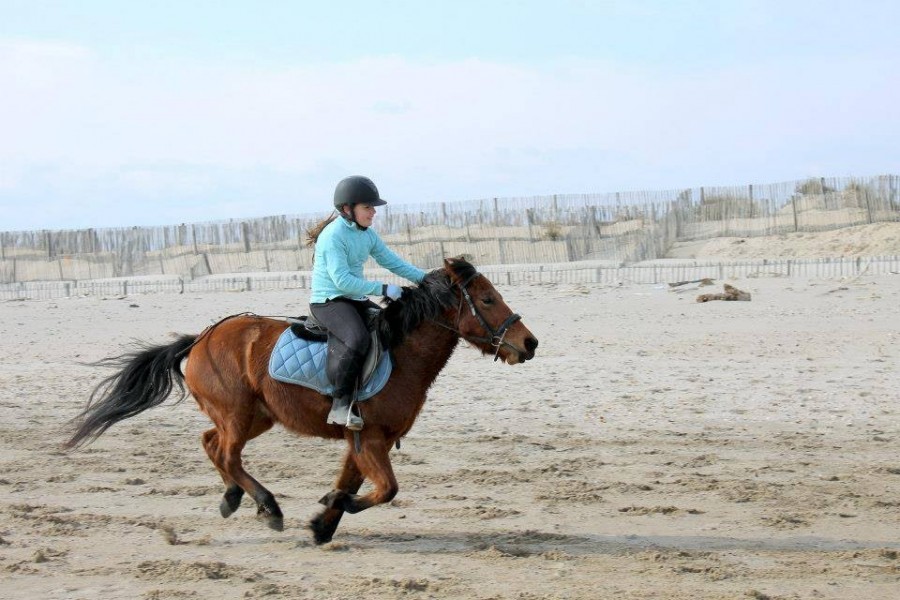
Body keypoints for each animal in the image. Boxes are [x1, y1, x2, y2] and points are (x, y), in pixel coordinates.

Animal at [68, 256, 540, 544]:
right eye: (487, 299)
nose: (529, 343)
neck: (400, 352)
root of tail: (200, 339)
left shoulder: (365, 441)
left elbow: (352, 483)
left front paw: (321, 525)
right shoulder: (371, 439)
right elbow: (385, 489)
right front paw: (332, 508)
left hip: (255, 417)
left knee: (211, 445)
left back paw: (233, 498)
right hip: (237, 415)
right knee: (228, 454)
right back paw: (267, 505)